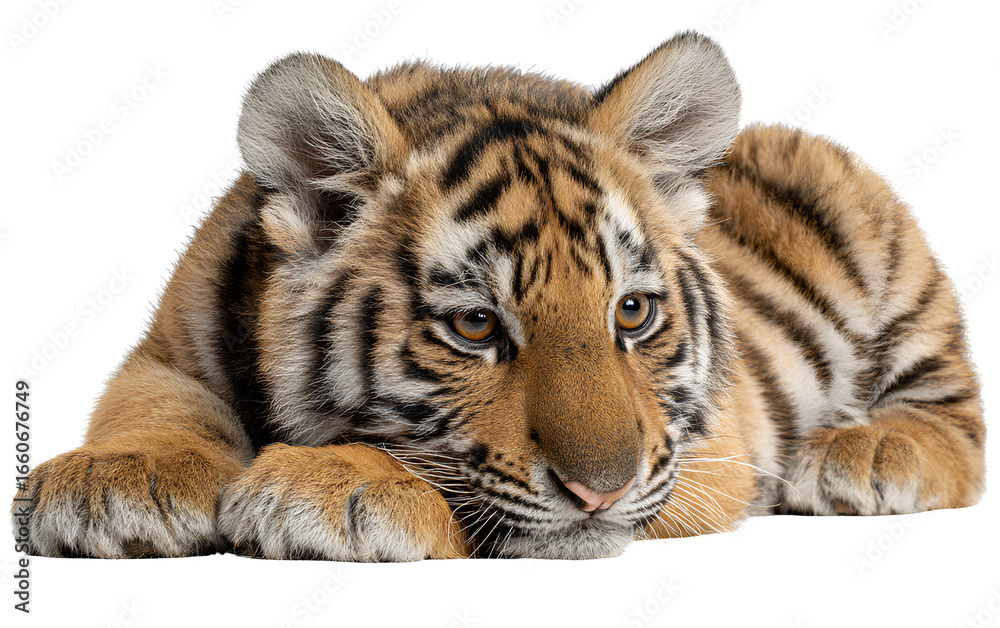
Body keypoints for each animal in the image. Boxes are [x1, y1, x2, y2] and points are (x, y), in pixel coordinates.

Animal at [11, 31, 985, 561]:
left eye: (632, 312)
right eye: (476, 326)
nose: (601, 492)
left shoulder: (707, 454)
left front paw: (332, 484)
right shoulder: (169, 349)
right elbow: (153, 406)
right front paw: (113, 484)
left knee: (960, 422)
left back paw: (865, 454)